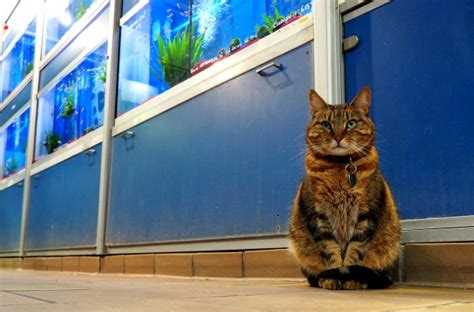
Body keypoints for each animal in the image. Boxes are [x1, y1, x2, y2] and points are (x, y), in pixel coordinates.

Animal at [288, 86, 400, 290]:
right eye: (326, 125)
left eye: (351, 124)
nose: (338, 137)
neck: (341, 168)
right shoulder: (319, 216)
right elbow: (331, 254)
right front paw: (332, 277)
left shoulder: (365, 216)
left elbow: (353, 253)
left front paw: (351, 280)